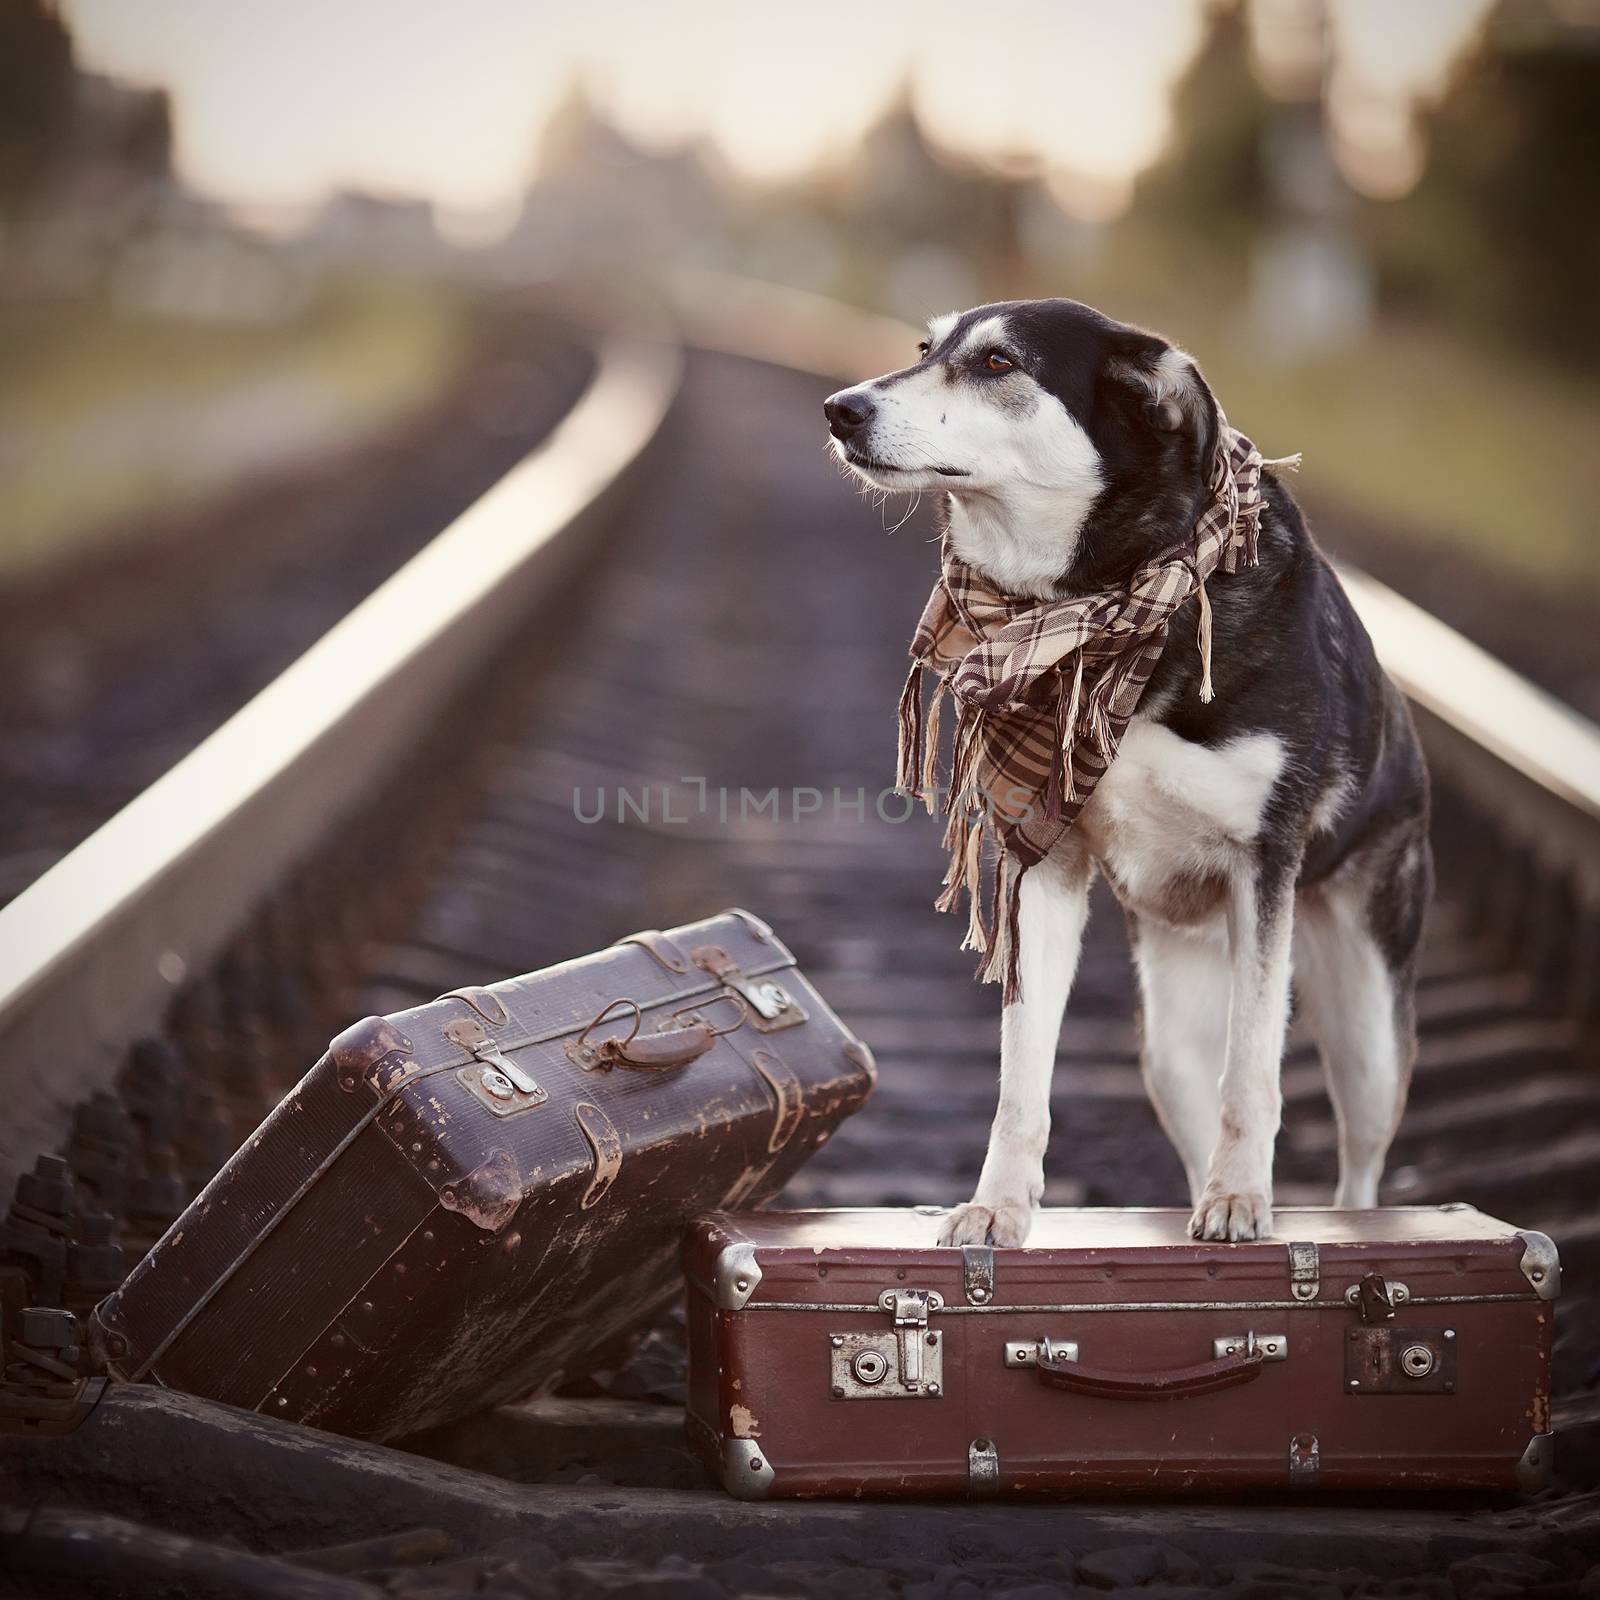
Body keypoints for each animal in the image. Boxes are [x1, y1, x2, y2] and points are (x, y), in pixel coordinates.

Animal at [825, 300, 1427, 1248]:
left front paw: (1243, 1198)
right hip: (1168, 1047)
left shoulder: (1265, 868)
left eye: (998, 362)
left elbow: (1253, 1071)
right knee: (1190, 1103)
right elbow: (1021, 1077)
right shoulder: (1043, 865)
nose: (840, 409)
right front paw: (998, 1206)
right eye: (927, 347)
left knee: (1359, 1168)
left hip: (1366, 1022)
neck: (1106, 599)